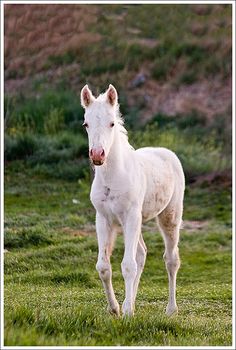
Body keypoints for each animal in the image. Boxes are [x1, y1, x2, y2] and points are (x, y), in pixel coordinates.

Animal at [80, 85, 184, 318]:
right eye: (86, 124)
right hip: (137, 221)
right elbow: (104, 267)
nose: (97, 155)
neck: (113, 177)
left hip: (169, 216)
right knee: (141, 253)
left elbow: (128, 265)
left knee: (171, 259)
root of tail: (167, 153)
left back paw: (171, 309)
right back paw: (133, 302)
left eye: (111, 123)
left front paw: (127, 312)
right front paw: (115, 308)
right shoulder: (103, 219)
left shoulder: (130, 216)